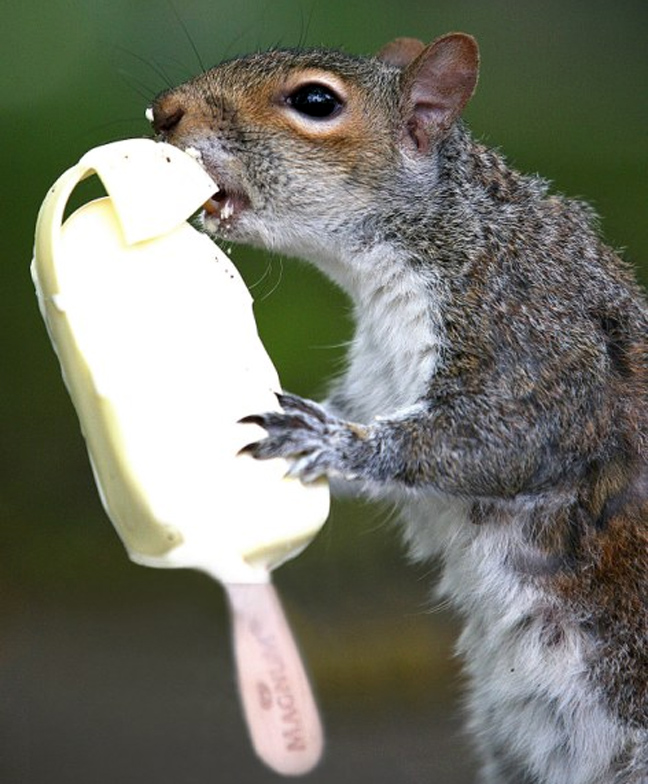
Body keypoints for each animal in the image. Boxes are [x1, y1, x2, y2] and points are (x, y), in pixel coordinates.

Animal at [149, 32, 648, 784]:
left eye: (315, 101)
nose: (163, 113)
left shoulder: (537, 339)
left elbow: (500, 442)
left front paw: (326, 440)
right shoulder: (374, 380)